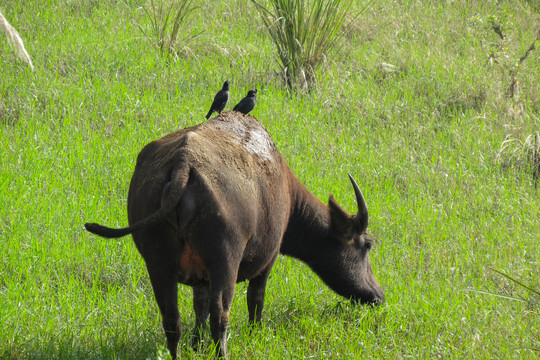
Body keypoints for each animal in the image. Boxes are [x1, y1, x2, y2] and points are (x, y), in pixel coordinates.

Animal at [85, 111, 384, 358]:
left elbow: (199, 305)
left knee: (172, 320)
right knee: (221, 315)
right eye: (367, 245)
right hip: (224, 261)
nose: (379, 295)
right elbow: (255, 298)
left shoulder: (200, 276)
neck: (287, 193)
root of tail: (182, 166)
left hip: (158, 263)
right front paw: (255, 333)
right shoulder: (268, 260)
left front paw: (197, 344)